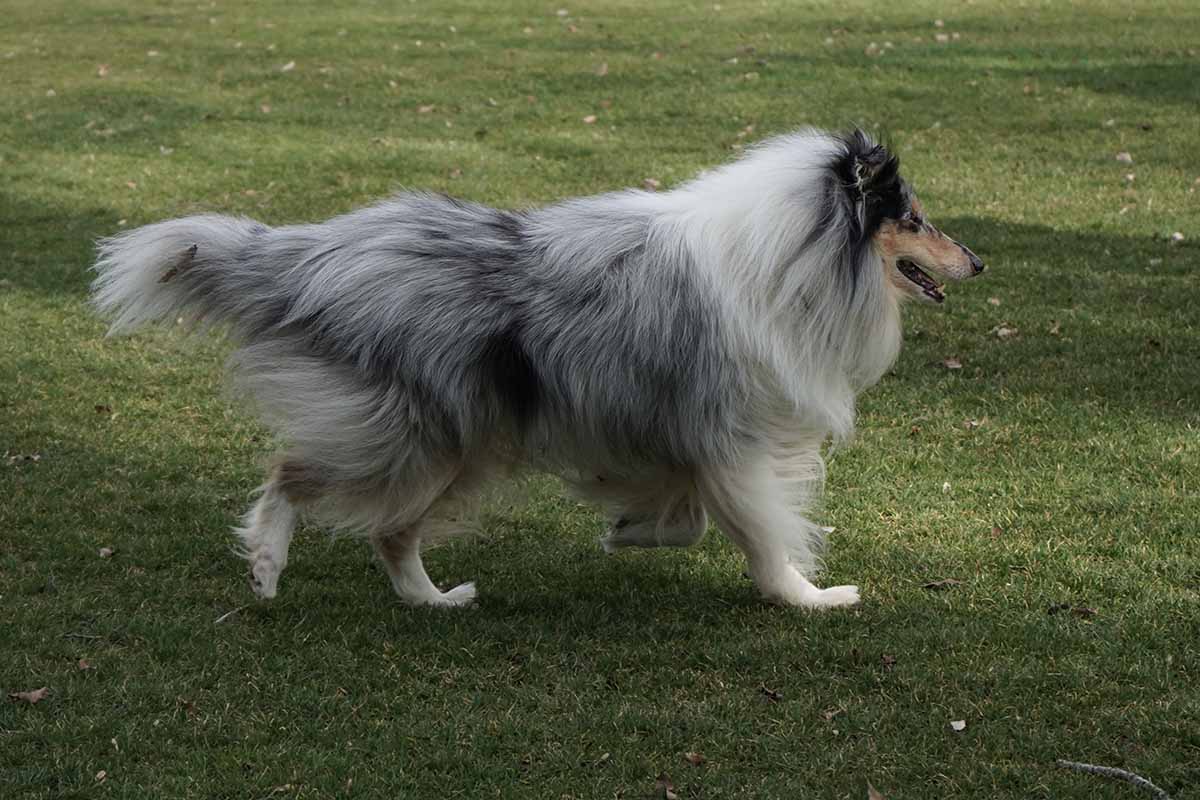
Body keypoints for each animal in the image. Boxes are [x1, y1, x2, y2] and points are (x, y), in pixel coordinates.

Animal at [93, 128, 984, 609]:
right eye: (912, 218)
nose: (977, 260)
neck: (796, 255)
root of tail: (317, 254)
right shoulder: (734, 440)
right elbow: (762, 535)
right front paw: (809, 596)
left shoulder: (687, 439)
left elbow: (687, 516)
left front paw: (630, 528)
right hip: (415, 439)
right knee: (293, 477)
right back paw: (268, 567)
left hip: (460, 446)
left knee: (388, 533)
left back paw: (433, 600)